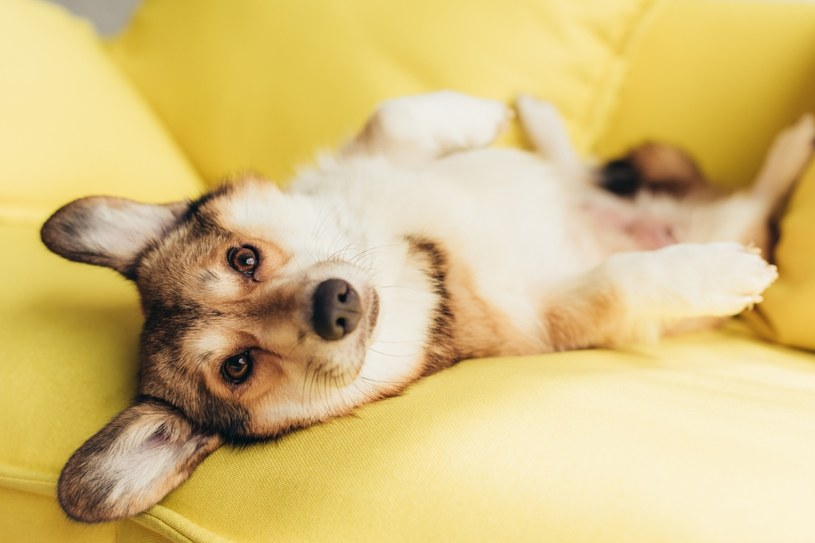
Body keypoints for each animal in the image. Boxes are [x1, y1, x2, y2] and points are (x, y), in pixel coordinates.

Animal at [41, 92, 812, 524]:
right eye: (238, 367)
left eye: (244, 259)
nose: (337, 304)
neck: (398, 262)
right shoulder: (554, 310)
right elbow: (625, 279)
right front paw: (716, 272)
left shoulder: (370, 160)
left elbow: (394, 116)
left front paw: (477, 114)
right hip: (733, 217)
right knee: (758, 197)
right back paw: (789, 149)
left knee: (580, 169)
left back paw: (541, 121)